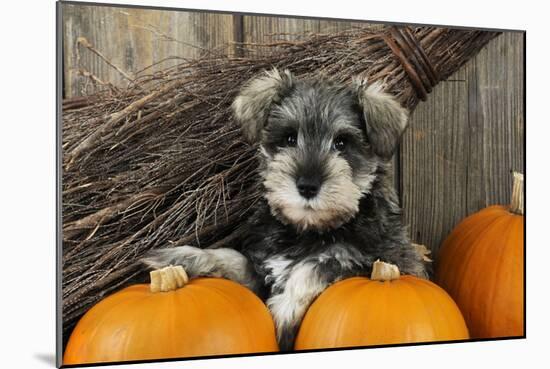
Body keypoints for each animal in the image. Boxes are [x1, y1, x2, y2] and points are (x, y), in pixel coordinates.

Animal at [144, 69, 430, 350]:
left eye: (341, 143)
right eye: (289, 138)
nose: (307, 186)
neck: (309, 231)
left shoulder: (378, 261)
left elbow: (316, 266)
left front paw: (284, 310)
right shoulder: (260, 268)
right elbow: (232, 258)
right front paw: (181, 258)